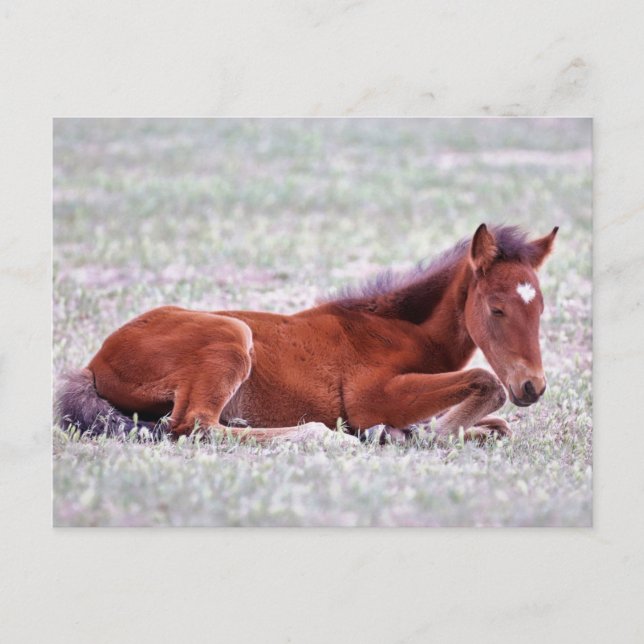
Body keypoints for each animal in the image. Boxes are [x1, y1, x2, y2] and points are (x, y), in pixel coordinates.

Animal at [56, 224, 557, 444]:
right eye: (496, 308)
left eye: (541, 308)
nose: (532, 386)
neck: (402, 331)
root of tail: (95, 363)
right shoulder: (371, 397)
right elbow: (486, 383)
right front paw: (415, 434)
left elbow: (498, 426)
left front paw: (428, 430)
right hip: (232, 333)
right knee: (194, 424)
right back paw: (317, 434)